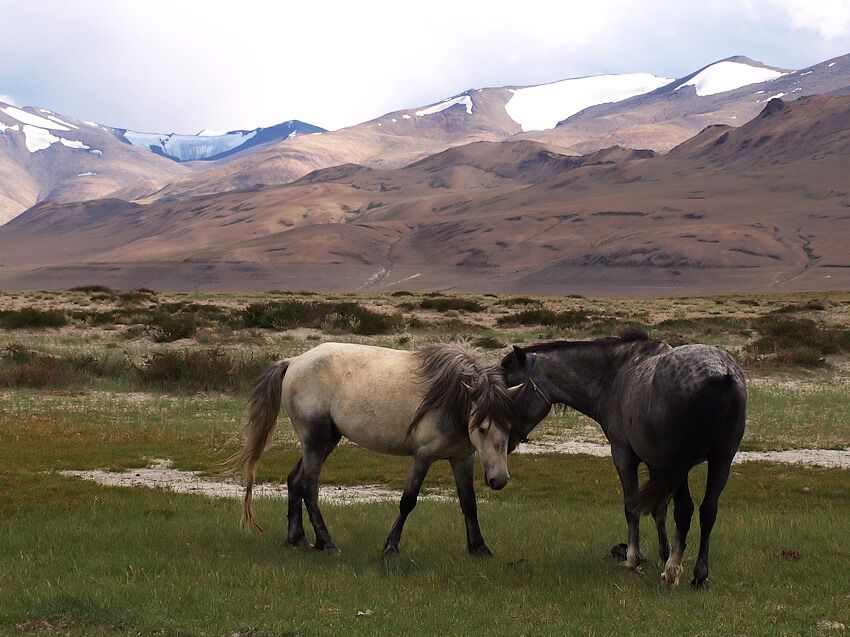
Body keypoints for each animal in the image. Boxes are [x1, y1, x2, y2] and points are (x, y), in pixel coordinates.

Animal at [229, 340, 520, 556]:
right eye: (481, 427)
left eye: (508, 427)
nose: (500, 479)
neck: (449, 399)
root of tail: (294, 361)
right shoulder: (423, 456)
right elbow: (408, 501)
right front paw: (391, 547)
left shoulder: (462, 459)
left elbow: (469, 503)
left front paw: (479, 548)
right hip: (315, 441)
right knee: (308, 485)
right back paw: (328, 543)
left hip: (327, 441)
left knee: (295, 480)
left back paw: (298, 539)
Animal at [500, 330, 744, 588]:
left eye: (510, 388)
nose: (505, 440)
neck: (615, 376)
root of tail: (721, 373)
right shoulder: (656, 465)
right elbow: (658, 509)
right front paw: (663, 553)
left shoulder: (624, 456)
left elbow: (631, 507)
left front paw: (633, 558)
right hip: (721, 459)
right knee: (708, 510)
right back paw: (699, 575)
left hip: (681, 465)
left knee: (685, 509)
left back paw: (672, 571)